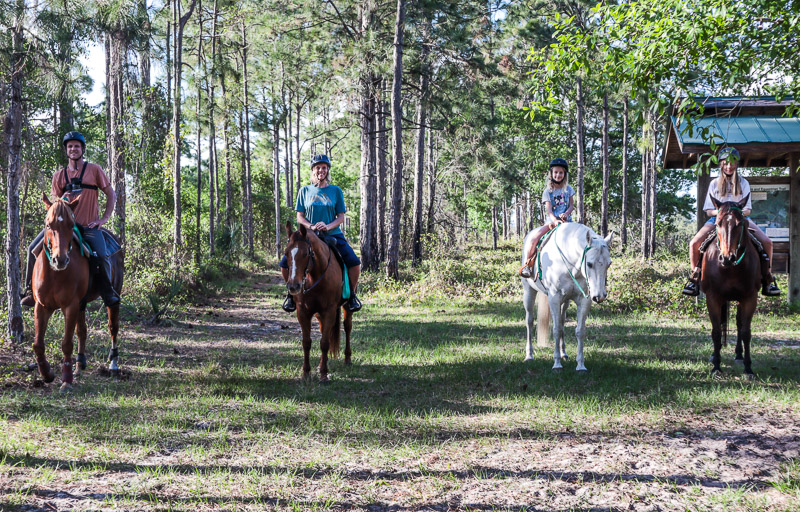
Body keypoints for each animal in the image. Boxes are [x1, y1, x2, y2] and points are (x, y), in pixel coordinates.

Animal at [32, 194, 124, 390]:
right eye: (48, 225)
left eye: (70, 225)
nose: (60, 260)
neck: (55, 273)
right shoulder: (42, 306)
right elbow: (38, 344)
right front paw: (47, 374)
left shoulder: (70, 305)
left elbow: (67, 343)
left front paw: (66, 380)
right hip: (81, 304)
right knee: (82, 330)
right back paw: (79, 365)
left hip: (112, 295)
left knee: (113, 326)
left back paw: (113, 364)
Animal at [284, 222, 354, 382]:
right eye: (286, 254)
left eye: (305, 254)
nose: (294, 286)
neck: (314, 276)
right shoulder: (303, 311)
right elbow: (306, 342)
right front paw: (306, 373)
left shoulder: (329, 310)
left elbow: (324, 343)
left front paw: (323, 375)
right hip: (318, 314)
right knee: (324, 331)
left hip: (346, 306)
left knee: (347, 327)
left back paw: (347, 358)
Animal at [520, 222, 612, 370]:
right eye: (589, 264)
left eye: (609, 264)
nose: (600, 296)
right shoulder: (554, 298)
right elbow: (556, 330)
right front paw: (556, 364)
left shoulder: (584, 300)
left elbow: (579, 331)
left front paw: (580, 365)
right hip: (529, 292)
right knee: (529, 321)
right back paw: (529, 355)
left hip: (566, 301)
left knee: (562, 321)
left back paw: (564, 353)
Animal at [704, 194, 760, 378]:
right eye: (717, 224)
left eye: (740, 223)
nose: (727, 257)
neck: (730, 269)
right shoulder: (713, 297)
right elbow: (716, 332)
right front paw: (716, 366)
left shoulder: (749, 298)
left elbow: (746, 332)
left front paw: (748, 368)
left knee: (739, 324)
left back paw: (739, 355)